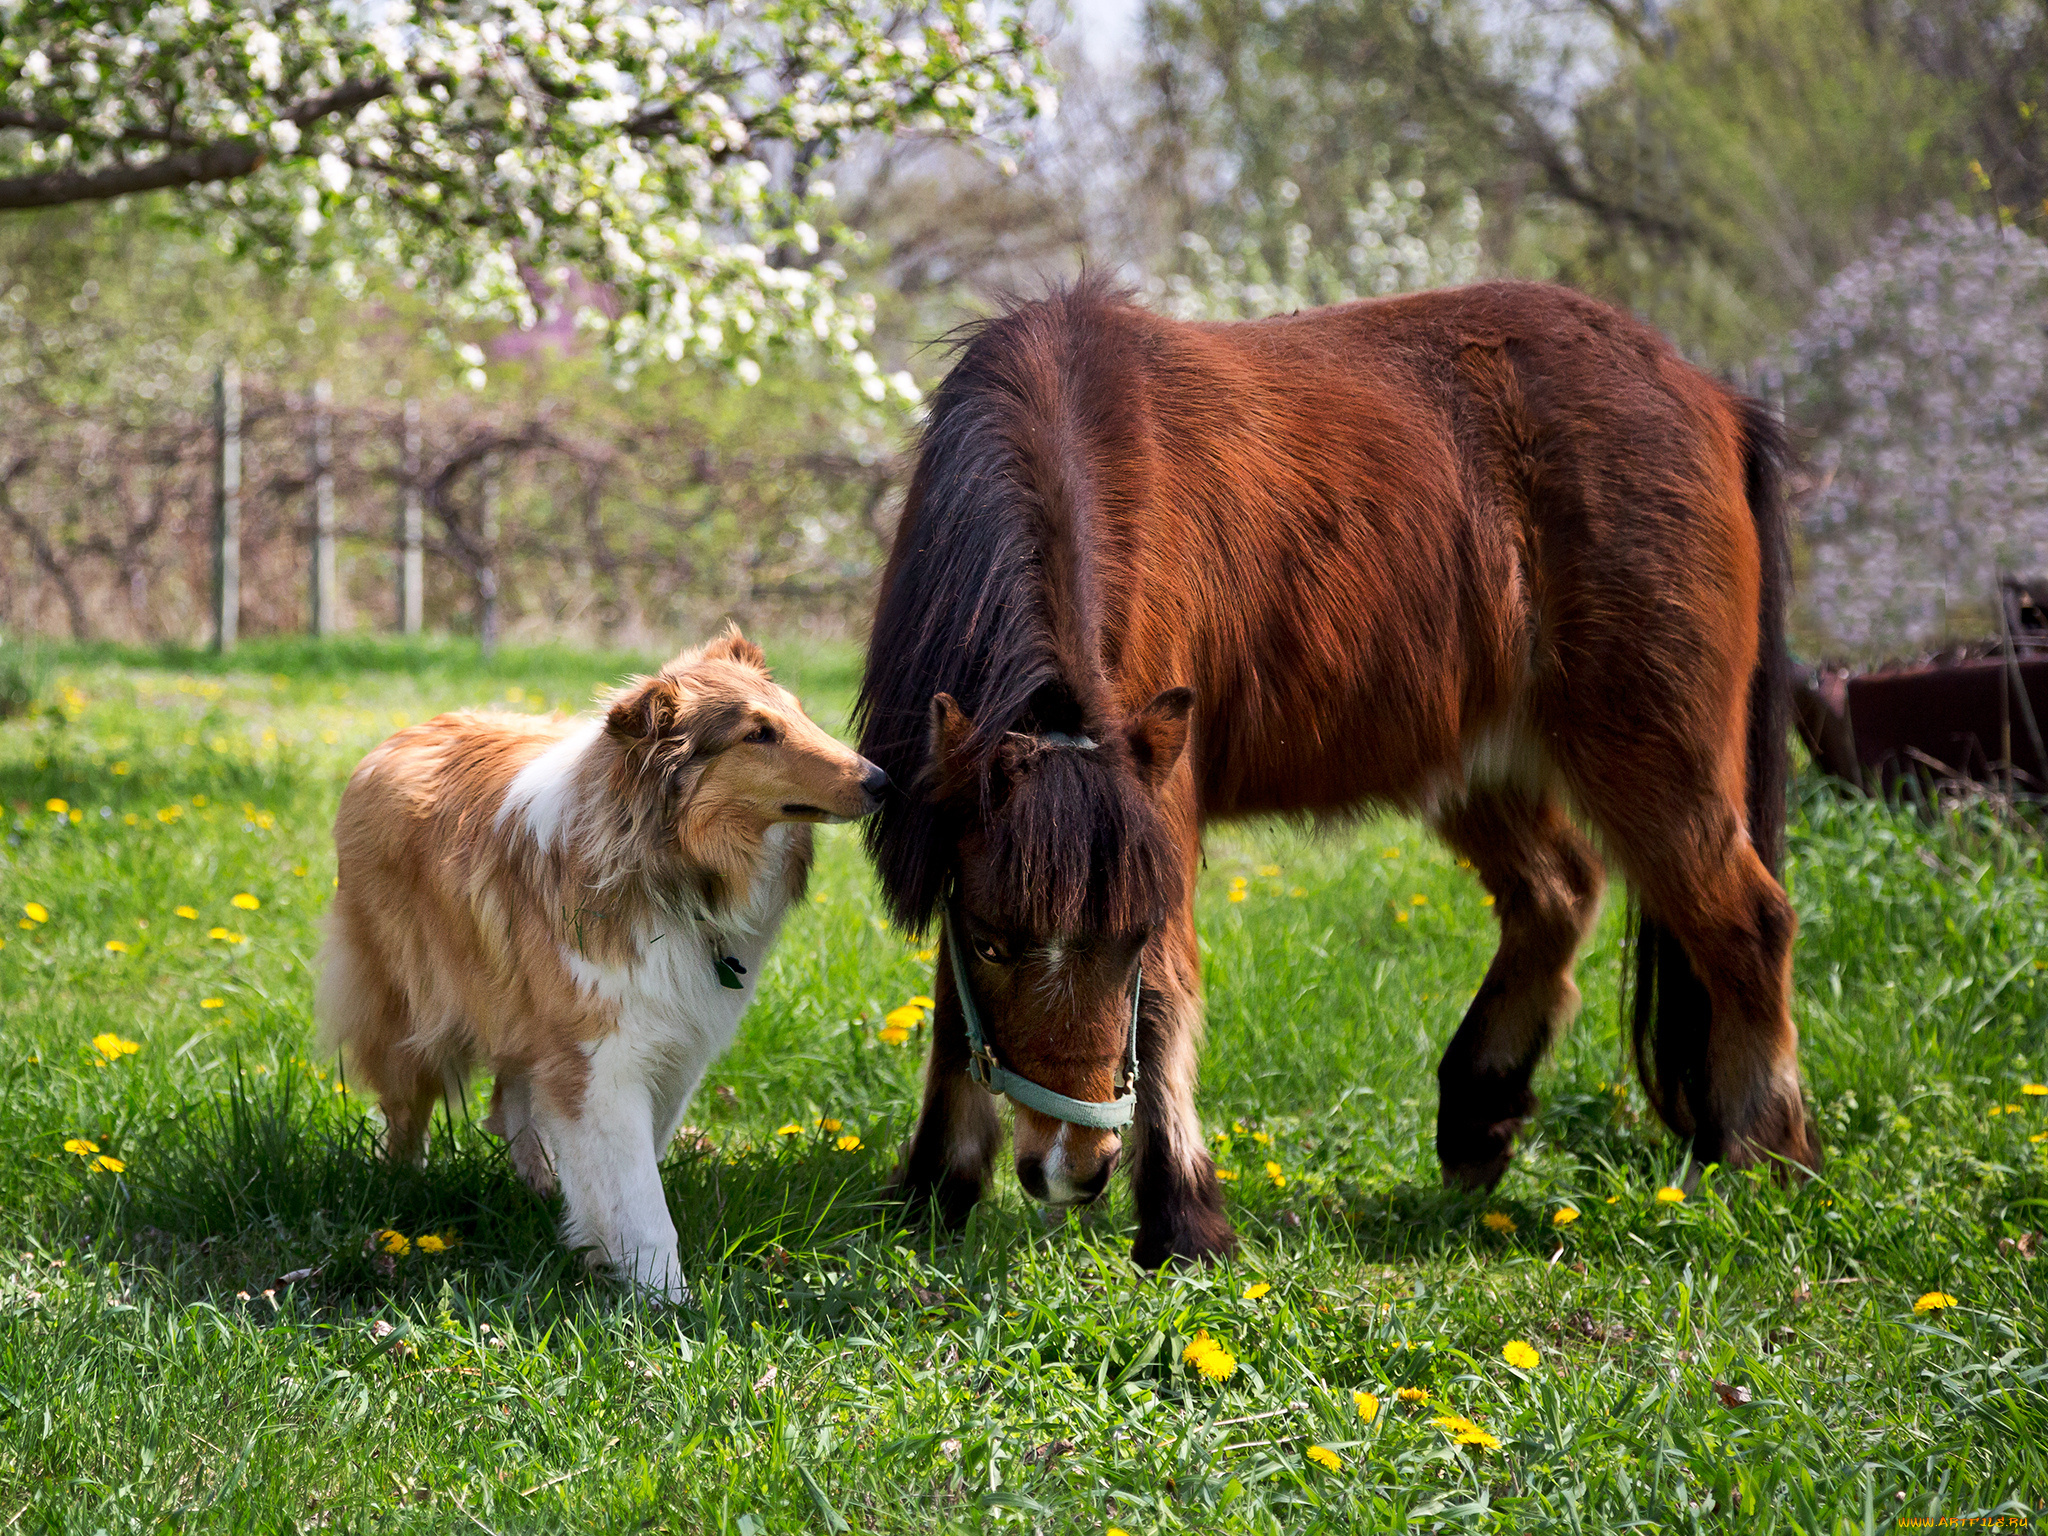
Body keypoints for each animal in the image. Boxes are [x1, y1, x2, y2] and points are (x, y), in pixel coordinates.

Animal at [315, 630, 884, 1302]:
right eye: (758, 734)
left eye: (797, 713)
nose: (883, 781)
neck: (673, 868)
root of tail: (399, 735)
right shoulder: (601, 1056)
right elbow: (639, 1195)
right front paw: (667, 1301)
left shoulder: (671, 1046)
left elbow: (626, 1164)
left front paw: (601, 1249)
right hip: (408, 1002)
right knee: (408, 1108)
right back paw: (403, 1193)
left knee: (511, 1095)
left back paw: (537, 1186)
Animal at [856, 280, 1818, 1277]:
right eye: (996, 942)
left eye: (1128, 939)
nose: (1073, 1169)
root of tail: (1715, 400)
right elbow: (956, 1013)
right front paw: (933, 1191)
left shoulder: (1162, 806)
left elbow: (1163, 998)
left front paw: (1185, 1223)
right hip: (1478, 763)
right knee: (1561, 890)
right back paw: (1479, 1115)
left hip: (1651, 753)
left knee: (1748, 923)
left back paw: (1761, 1161)